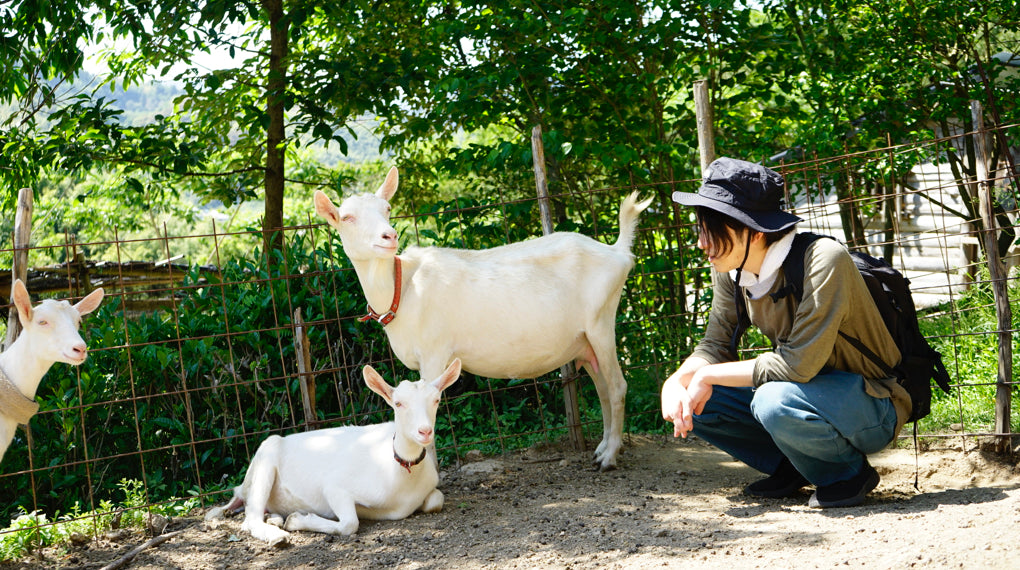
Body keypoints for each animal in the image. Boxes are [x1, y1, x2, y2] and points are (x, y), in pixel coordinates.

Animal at [205, 358, 461, 546]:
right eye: (398, 403)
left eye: (436, 400)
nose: (424, 431)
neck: (398, 471)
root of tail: (242, 487)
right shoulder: (336, 488)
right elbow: (349, 523)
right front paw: (297, 520)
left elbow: (436, 499)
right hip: (265, 460)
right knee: (251, 517)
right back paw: (278, 535)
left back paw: (275, 519)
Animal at [312, 167, 652, 471]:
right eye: (347, 217)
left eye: (387, 208)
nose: (389, 236)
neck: (403, 287)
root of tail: (618, 251)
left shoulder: (434, 353)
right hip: (586, 342)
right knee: (603, 388)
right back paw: (602, 449)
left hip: (601, 324)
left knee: (617, 386)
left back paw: (609, 458)